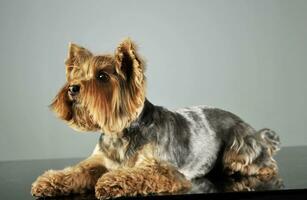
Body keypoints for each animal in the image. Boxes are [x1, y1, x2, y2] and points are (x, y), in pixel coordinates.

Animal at [31, 37, 282, 198]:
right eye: (77, 75)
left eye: (102, 76)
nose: (72, 88)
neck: (120, 132)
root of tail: (255, 132)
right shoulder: (98, 161)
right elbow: (76, 171)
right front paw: (48, 181)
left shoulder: (162, 169)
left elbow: (136, 174)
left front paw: (111, 181)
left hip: (239, 147)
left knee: (264, 164)